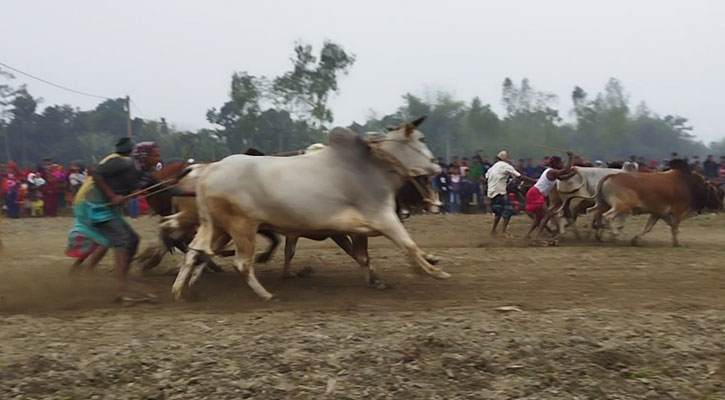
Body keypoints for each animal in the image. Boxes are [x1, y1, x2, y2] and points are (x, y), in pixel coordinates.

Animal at [174, 117, 446, 298]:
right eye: (421, 139)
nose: (437, 165)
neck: (372, 165)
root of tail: (207, 172)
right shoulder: (384, 218)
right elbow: (409, 246)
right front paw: (435, 272)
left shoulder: (358, 229)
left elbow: (364, 256)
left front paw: (378, 280)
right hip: (242, 227)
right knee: (241, 263)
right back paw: (266, 294)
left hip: (216, 227)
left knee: (194, 252)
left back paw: (180, 291)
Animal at [576, 159, 720, 247]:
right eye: (715, 191)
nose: (721, 206)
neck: (690, 185)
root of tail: (612, 175)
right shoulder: (678, 212)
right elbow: (675, 228)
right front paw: (677, 243)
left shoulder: (658, 213)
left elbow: (649, 227)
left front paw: (636, 239)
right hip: (622, 206)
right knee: (608, 216)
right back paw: (614, 234)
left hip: (602, 204)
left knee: (591, 212)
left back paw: (588, 233)